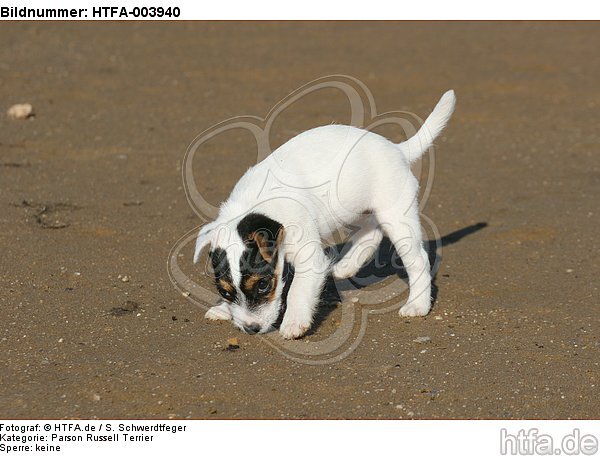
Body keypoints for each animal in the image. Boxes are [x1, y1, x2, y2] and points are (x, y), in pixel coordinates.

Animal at [192, 90, 454, 338]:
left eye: (264, 285)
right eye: (224, 291)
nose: (251, 329)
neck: (256, 204)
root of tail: (396, 149)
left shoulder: (310, 259)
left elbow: (297, 290)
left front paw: (294, 322)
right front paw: (223, 309)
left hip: (396, 214)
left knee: (418, 260)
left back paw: (417, 305)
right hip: (355, 208)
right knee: (372, 231)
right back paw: (345, 267)